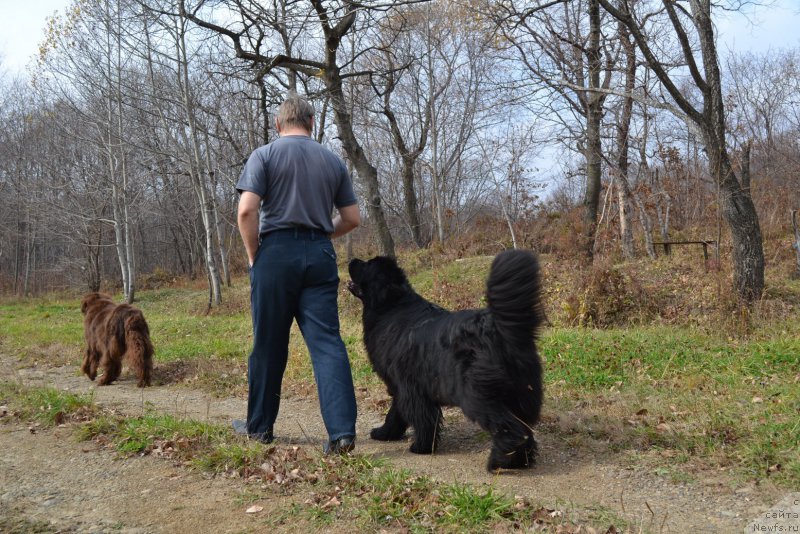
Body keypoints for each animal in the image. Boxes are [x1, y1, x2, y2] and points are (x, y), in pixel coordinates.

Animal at [348, 252, 544, 474]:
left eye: (367, 265)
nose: (352, 260)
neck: (390, 306)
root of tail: (500, 329)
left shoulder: (408, 385)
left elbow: (421, 416)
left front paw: (421, 447)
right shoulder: (403, 386)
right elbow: (396, 412)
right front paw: (385, 433)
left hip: (477, 394)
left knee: (511, 429)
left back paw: (499, 460)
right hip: (521, 392)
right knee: (525, 429)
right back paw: (521, 461)